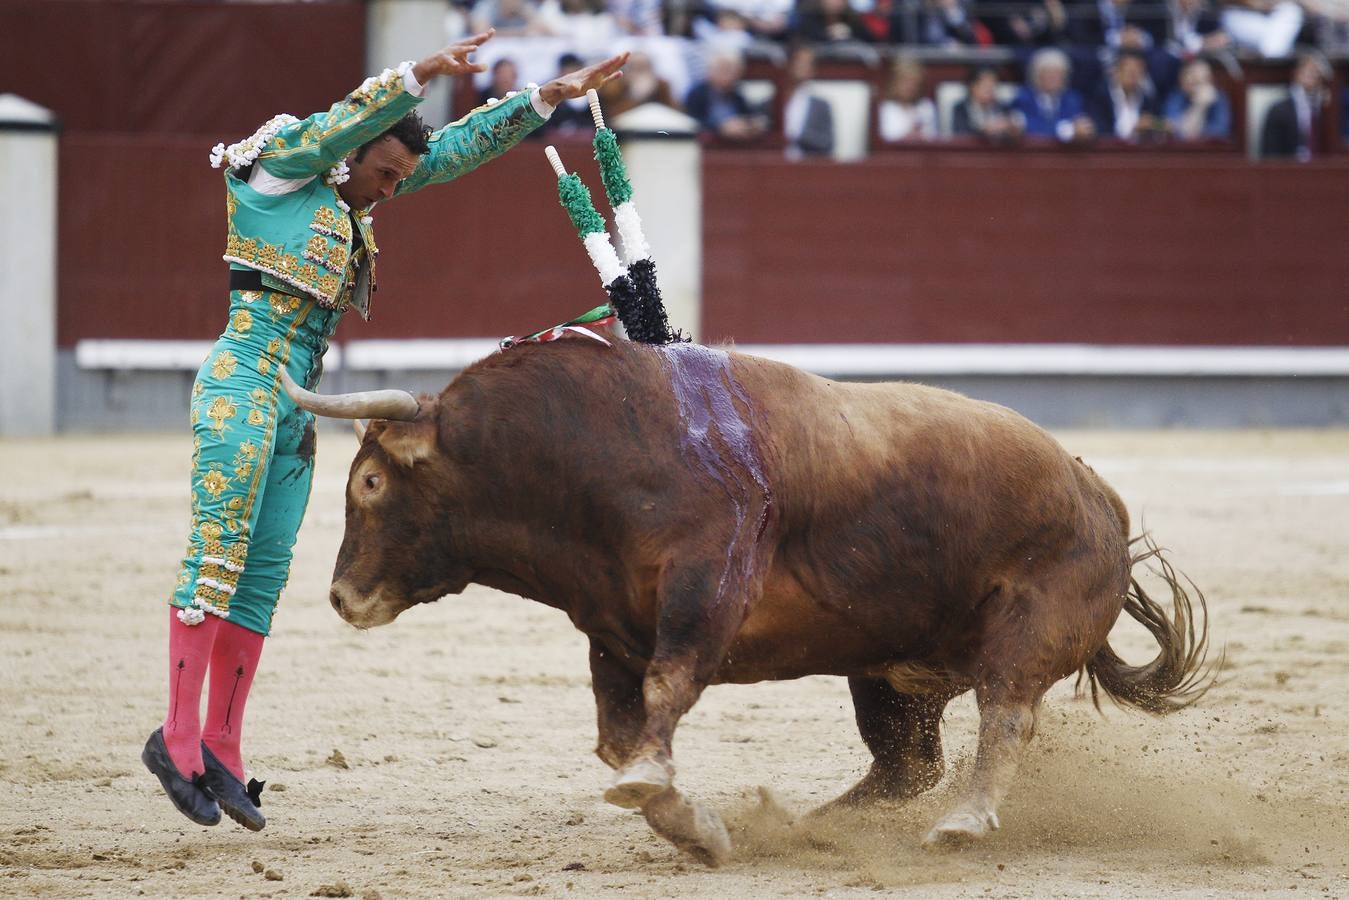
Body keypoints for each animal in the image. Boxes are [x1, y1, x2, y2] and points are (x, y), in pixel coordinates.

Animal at [281, 337, 1214, 863]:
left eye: (368, 481)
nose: (340, 596)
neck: (587, 453)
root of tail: (1095, 494)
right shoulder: (611, 631)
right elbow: (616, 736)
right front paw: (694, 828)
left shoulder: (705, 591)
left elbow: (662, 700)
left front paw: (659, 795)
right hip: (890, 672)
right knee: (906, 764)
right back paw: (809, 829)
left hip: (1024, 632)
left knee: (1006, 713)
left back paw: (963, 823)